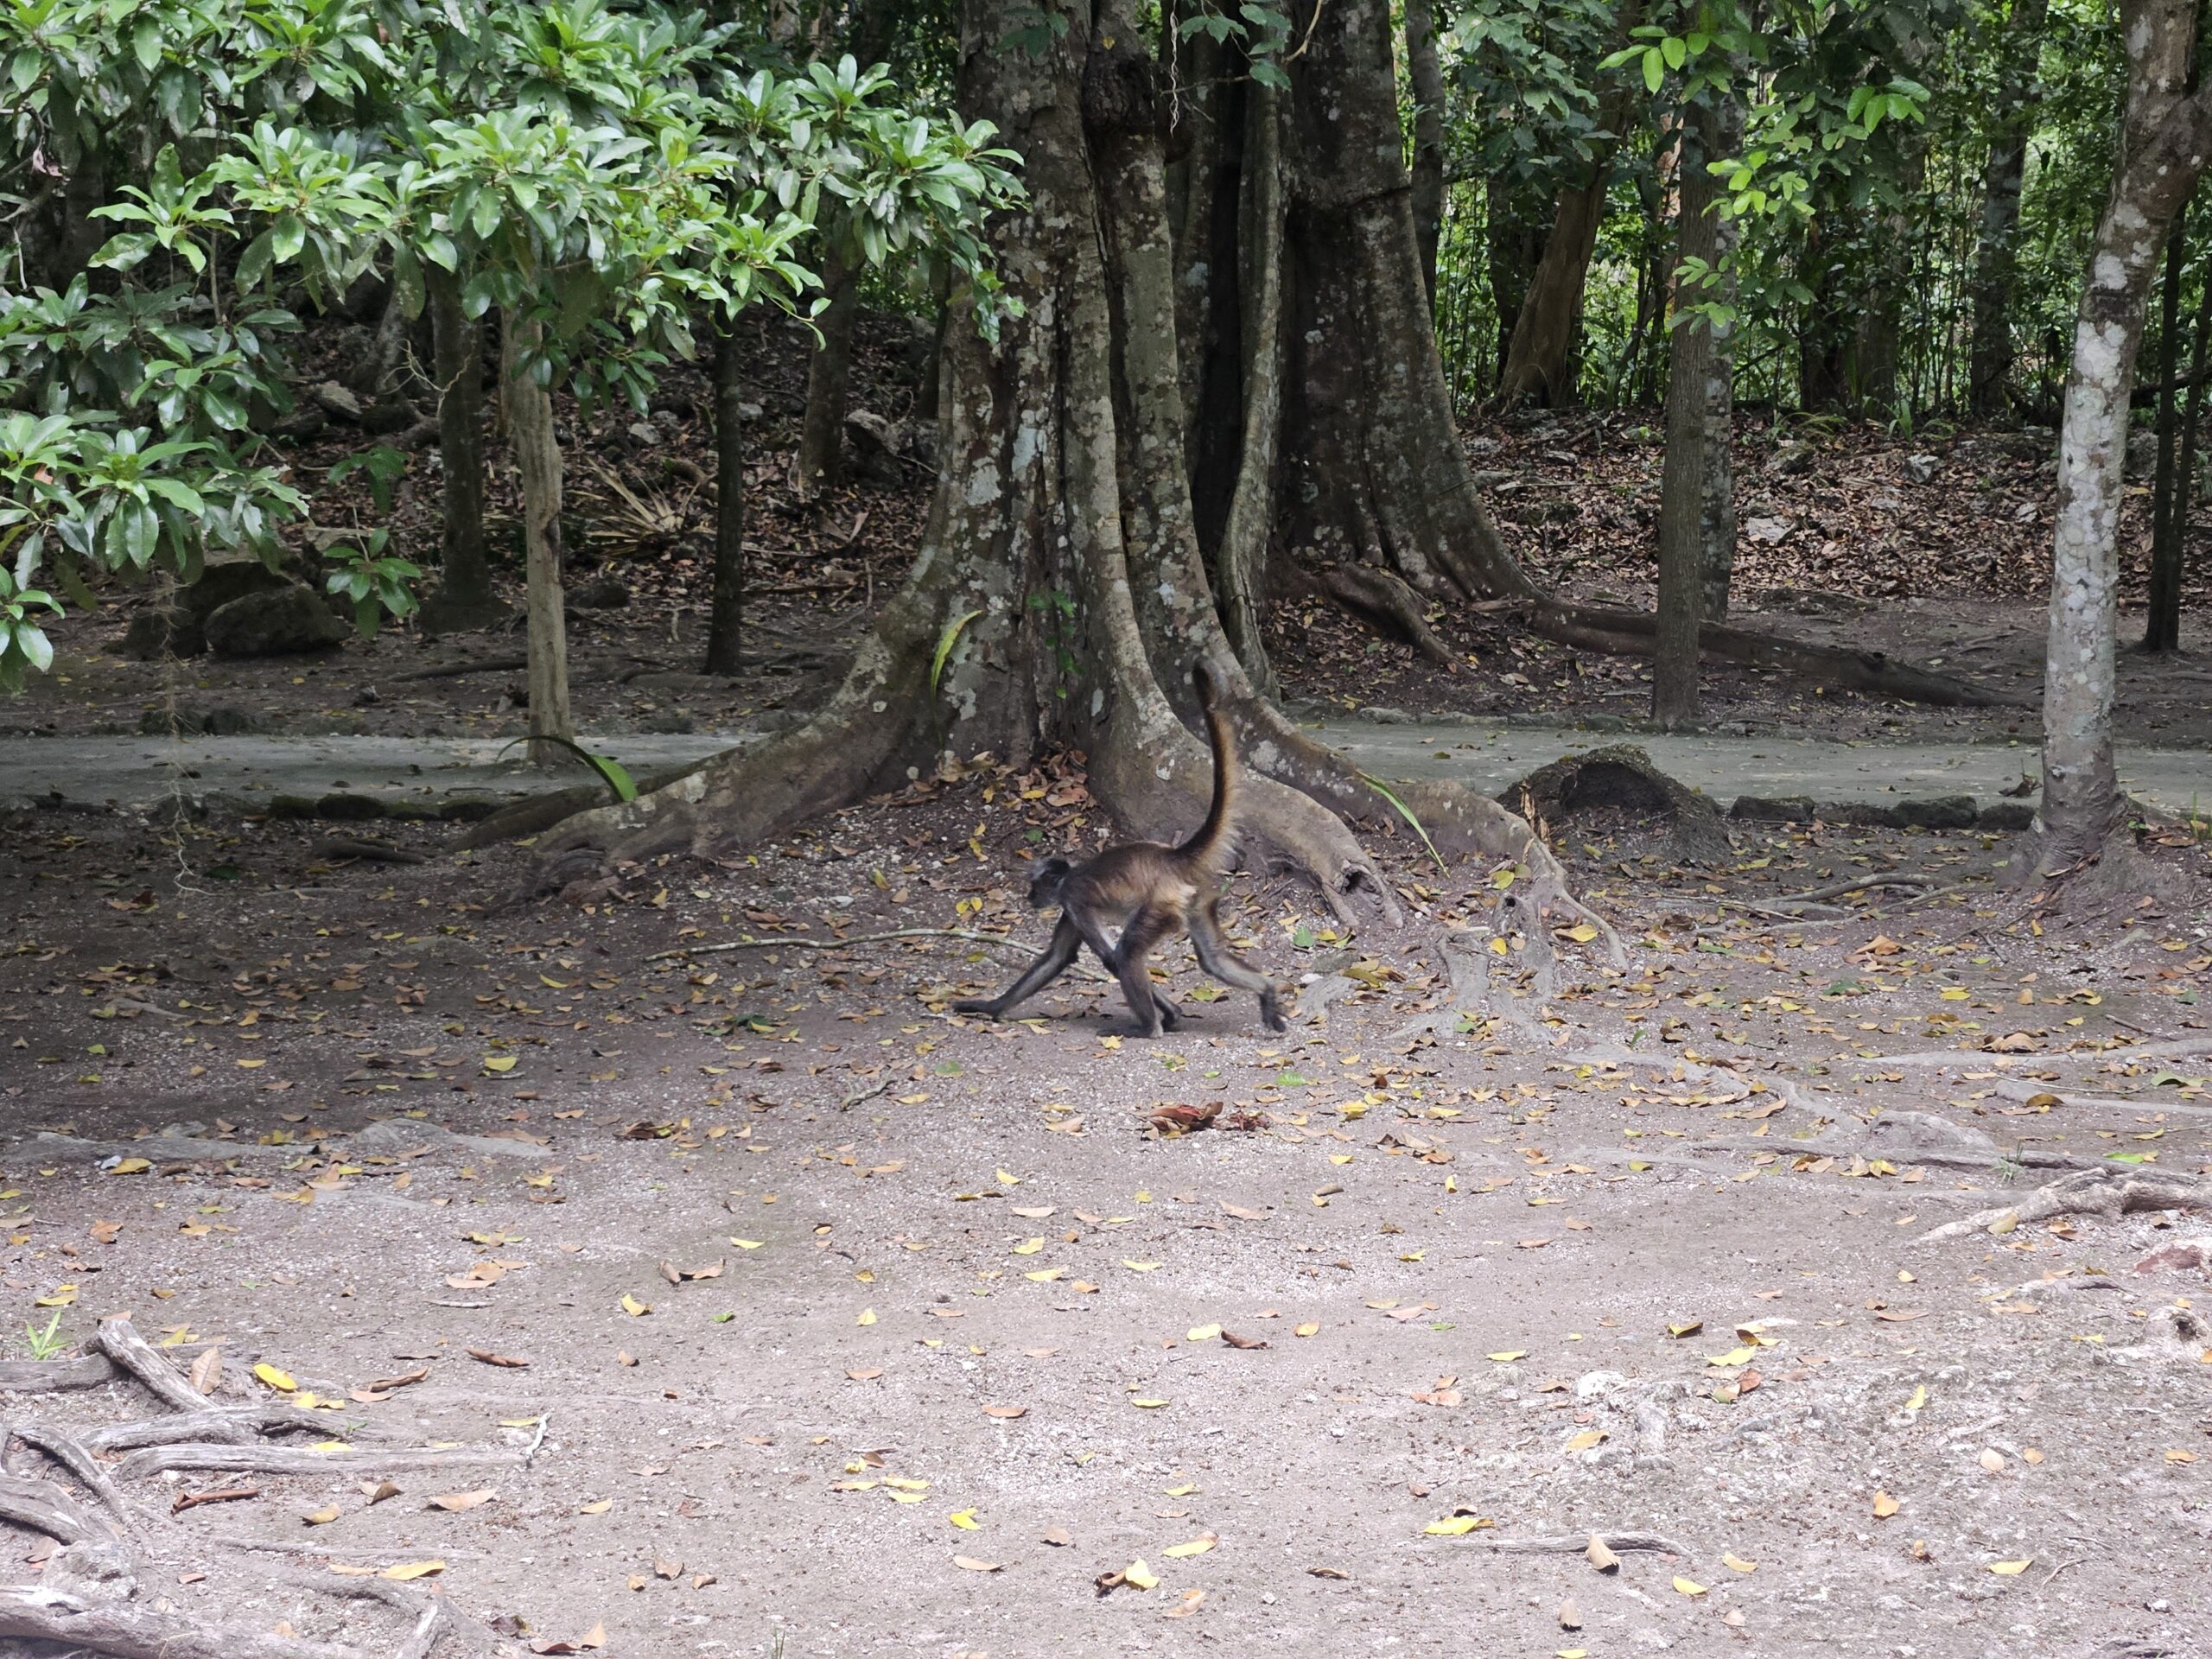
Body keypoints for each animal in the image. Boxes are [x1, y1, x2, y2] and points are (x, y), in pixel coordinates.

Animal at [954, 662, 1288, 1037]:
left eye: (1034, 886)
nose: (1029, 898)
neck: (1070, 875)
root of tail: (1170, 857)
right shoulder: (1070, 908)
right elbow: (1057, 958)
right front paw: (988, 1007)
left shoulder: (1073, 897)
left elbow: (1111, 960)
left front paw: (1168, 1015)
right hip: (1196, 897)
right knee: (1212, 959)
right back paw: (1267, 992)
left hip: (1161, 903)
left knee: (1127, 954)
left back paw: (1147, 1029)